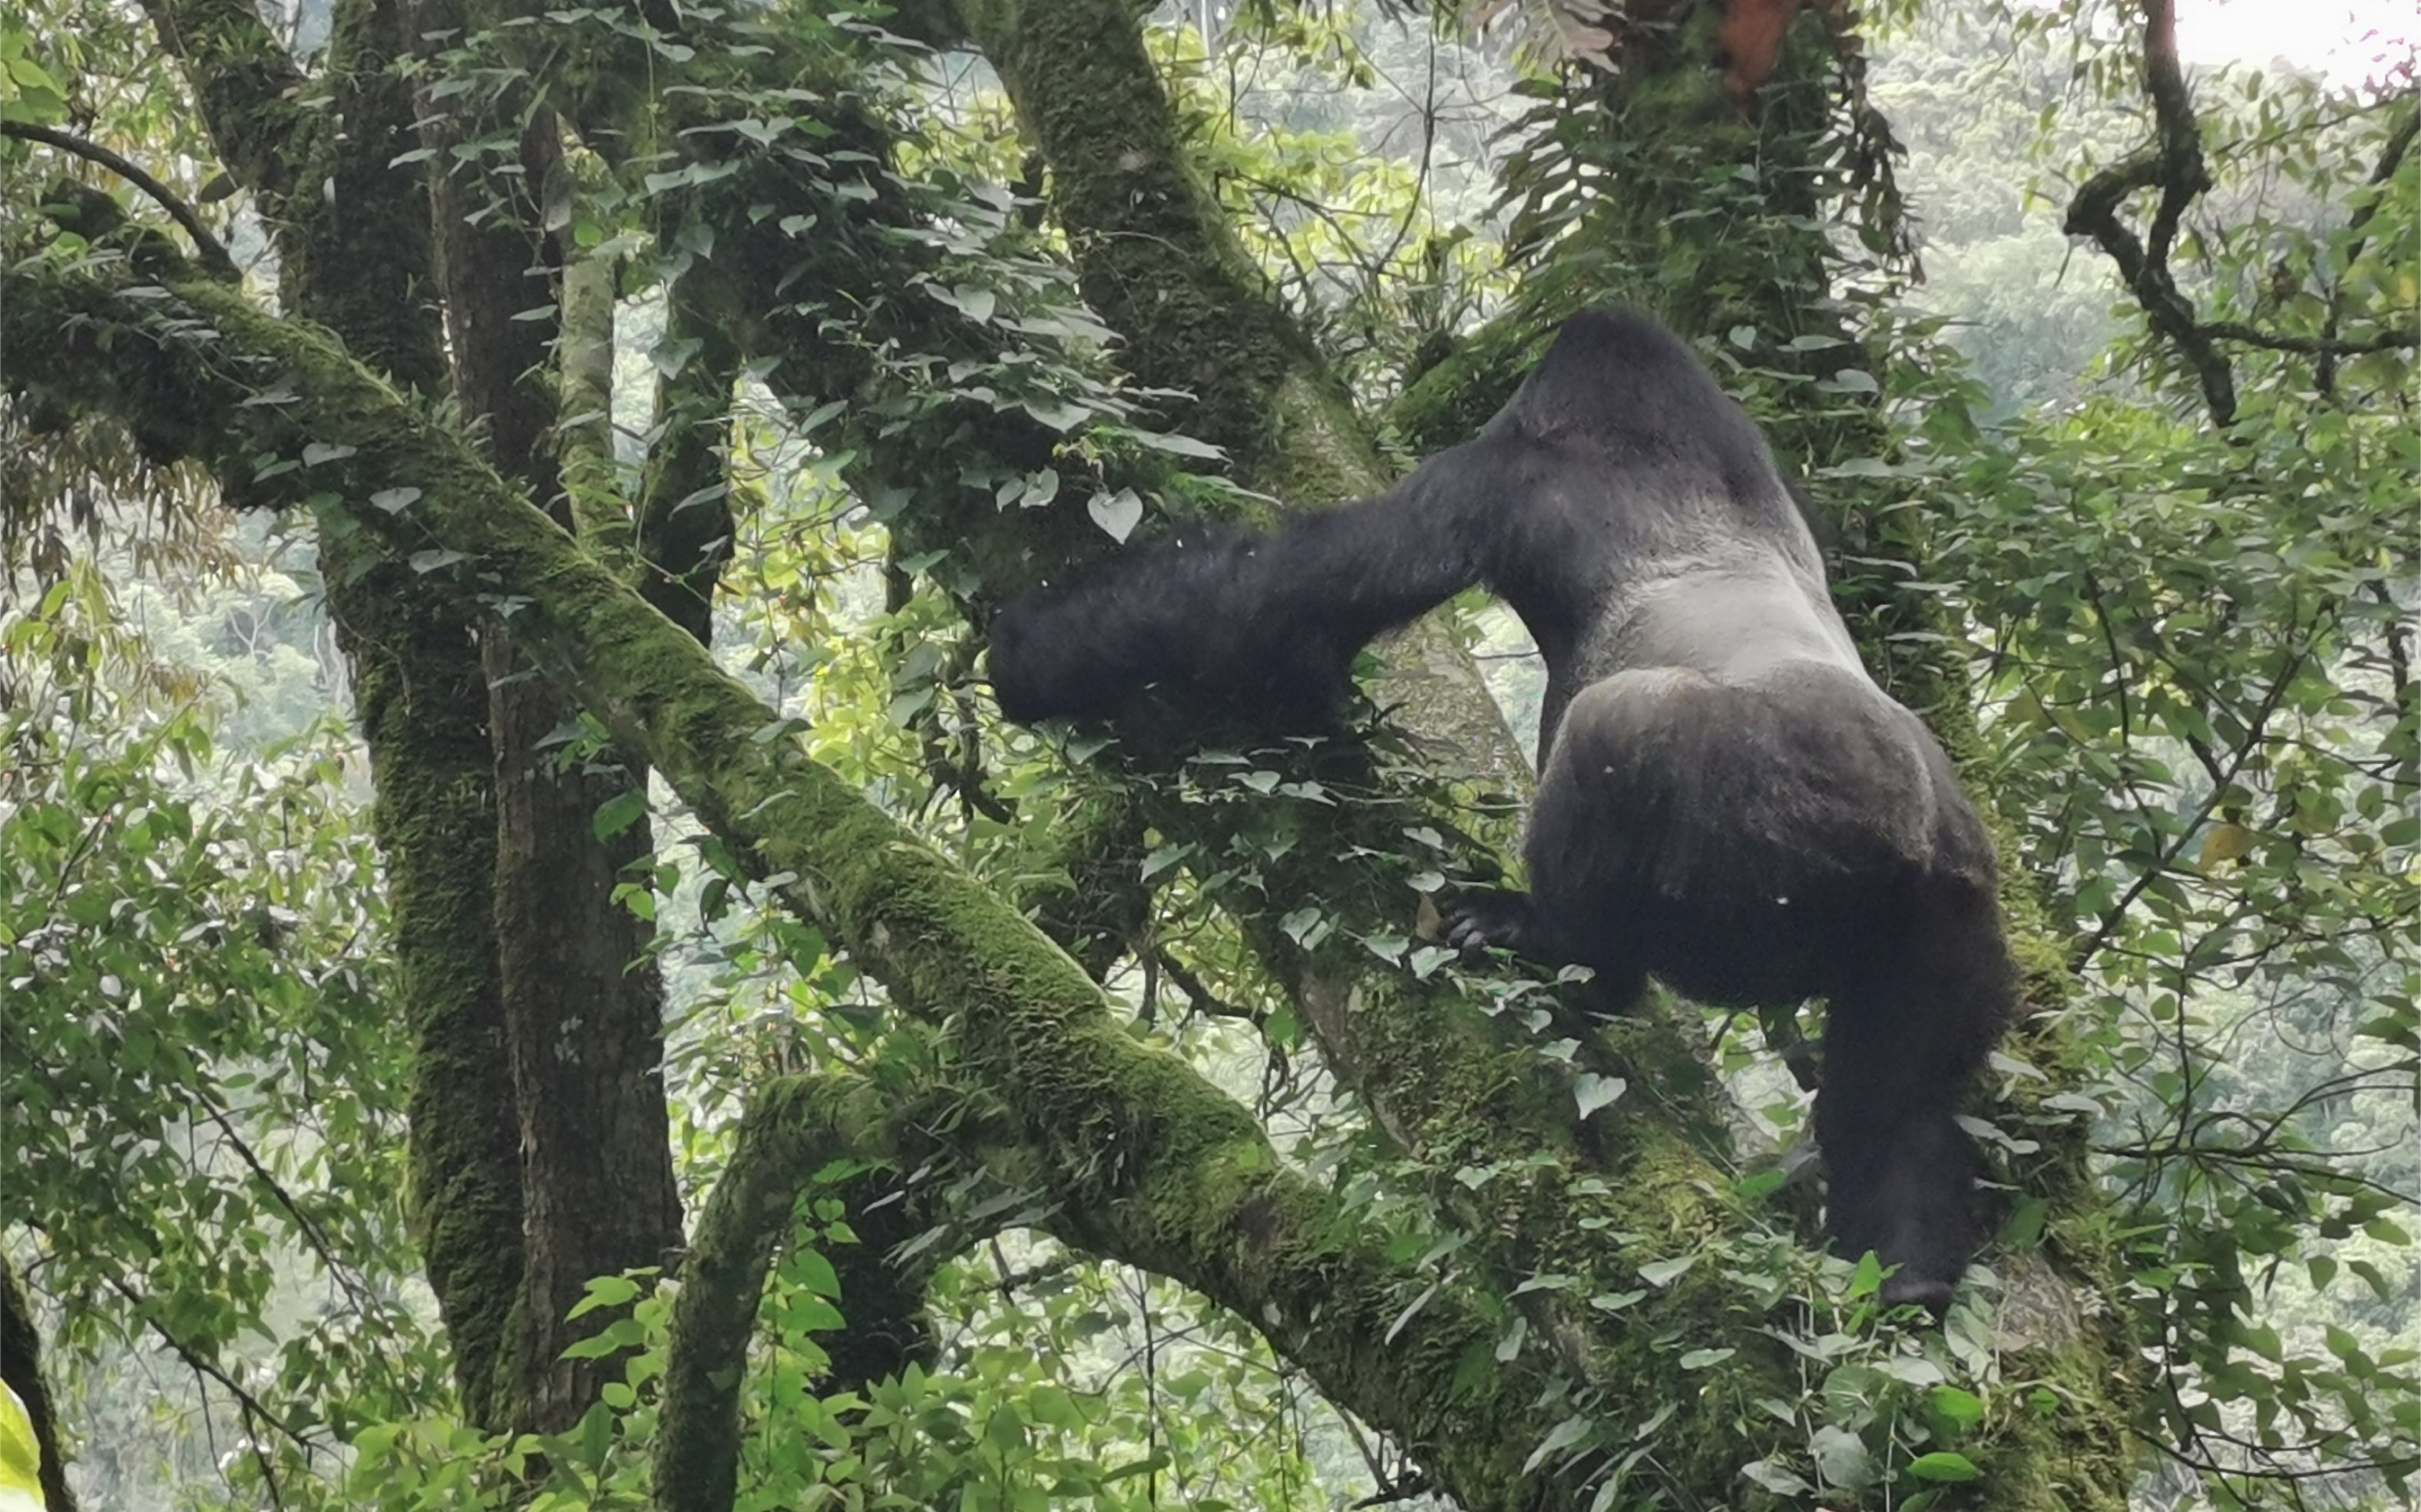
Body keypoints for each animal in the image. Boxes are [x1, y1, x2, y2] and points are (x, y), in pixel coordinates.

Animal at [987, 309, 2023, 1308]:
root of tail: (1904, 836)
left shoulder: (1488, 479)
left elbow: (1273, 606)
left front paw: (1035, 648)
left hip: (1781, 817)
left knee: (1619, 731)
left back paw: (1569, 952)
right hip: (1954, 907)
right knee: (1896, 1099)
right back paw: (1909, 1273)